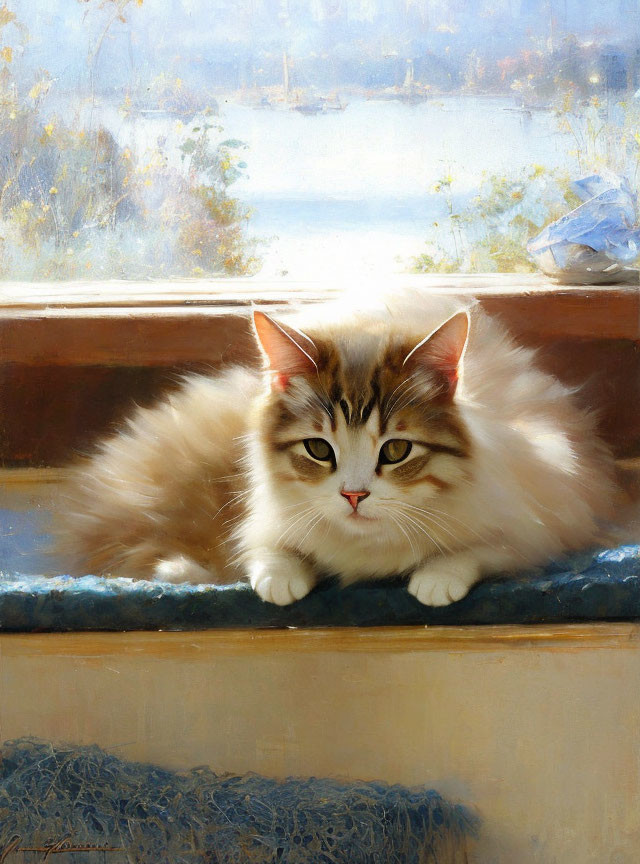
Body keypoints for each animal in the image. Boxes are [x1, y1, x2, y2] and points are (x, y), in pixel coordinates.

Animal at [62, 294, 616, 604]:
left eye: (395, 451)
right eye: (318, 449)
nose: (353, 495)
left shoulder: (540, 522)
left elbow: (474, 552)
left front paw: (435, 581)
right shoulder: (264, 517)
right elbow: (265, 549)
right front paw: (280, 578)